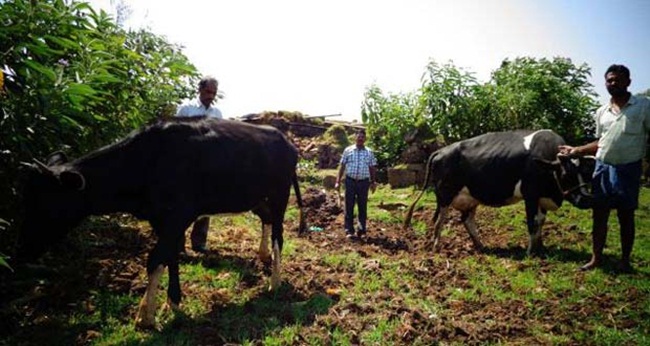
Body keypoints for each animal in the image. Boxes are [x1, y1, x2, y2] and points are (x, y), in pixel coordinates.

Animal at [17, 117, 306, 328]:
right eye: (26, 199)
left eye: (45, 204)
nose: (22, 251)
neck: (145, 162)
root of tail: (285, 140)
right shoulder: (163, 220)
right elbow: (170, 257)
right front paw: (172, 302)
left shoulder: (178, 215)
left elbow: (155, 259)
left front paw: (145, 316)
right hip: (256, 197)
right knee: (266, 221)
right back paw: (263, 255)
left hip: (279, 193)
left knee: (279, 233)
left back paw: (274, 281)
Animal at [402, 130, 596, 254]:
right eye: (566, 174)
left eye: (586, 172)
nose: (586, 200)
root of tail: (440, 150)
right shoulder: (530, 195)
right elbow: (532, 222)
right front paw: (530, 252)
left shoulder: (542, 197)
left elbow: (541, 221)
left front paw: (541, 247)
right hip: (445, 194)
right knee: (439, 220)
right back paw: (436, 246)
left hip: (470, 198)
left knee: (466, 220)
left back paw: (481, 245)